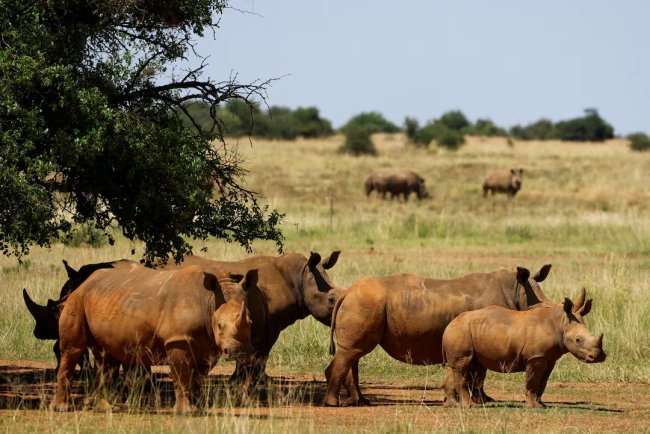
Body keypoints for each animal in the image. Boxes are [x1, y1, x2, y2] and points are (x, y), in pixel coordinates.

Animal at [52, 263, 257, 414]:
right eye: (220, 325)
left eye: (250, 323)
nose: (237, 352)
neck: (210, 300)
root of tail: (82, 282)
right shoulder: (178, 340)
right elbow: (182, 376)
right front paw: (185, 412)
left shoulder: (208, 346)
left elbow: (198, 377)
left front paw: (198, 409)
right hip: (78, 299)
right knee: (73, 350)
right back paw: (61, 408)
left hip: (104, 300)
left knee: (106, 357)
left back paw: (103, 408)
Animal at [169, 251, 342, 388]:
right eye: (331, 300)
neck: (301, 278)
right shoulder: (269, 324)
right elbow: (263, 353)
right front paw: (259, 382)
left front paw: (239, 381)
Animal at [442, 296, 605, 408]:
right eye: (578, 340)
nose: (599, 357)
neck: (560, 324)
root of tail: (450, 323)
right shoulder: (536, 357)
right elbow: (533, 380)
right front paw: (533, 407)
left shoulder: (549, 358)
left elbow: (543, 382)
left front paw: (541, 405)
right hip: (460, 331)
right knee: (463, 366)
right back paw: (468, 406)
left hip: (466, 332)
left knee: (462, 365)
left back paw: (454, 405)